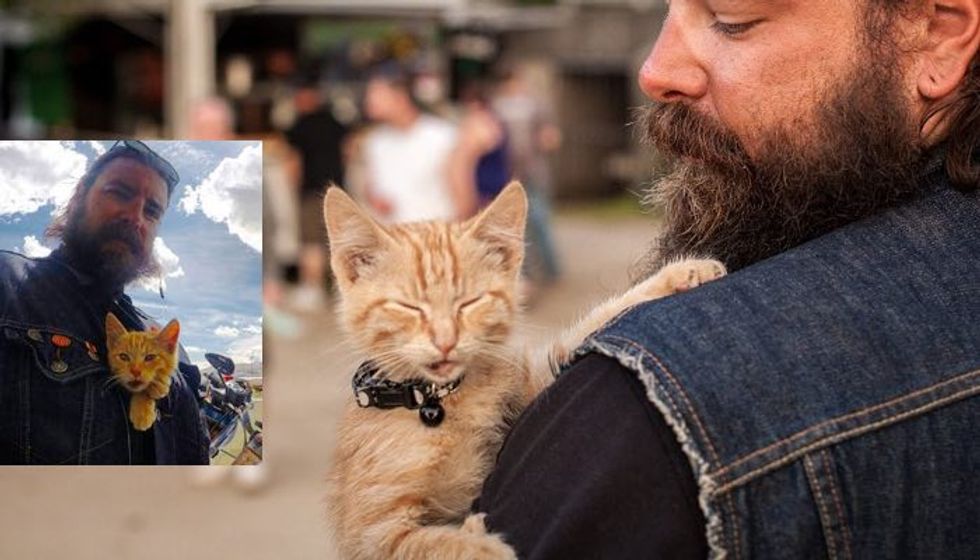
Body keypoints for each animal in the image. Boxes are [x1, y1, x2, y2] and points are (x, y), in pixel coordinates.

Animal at [326, 182, 724, 556]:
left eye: (470, 303)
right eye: (408, 307)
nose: (445, 341)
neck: (441, 402)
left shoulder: (533, 382)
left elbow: (586, 329)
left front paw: (683, 271)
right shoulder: (370, 531)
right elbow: (424, 543)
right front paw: (482, 547)